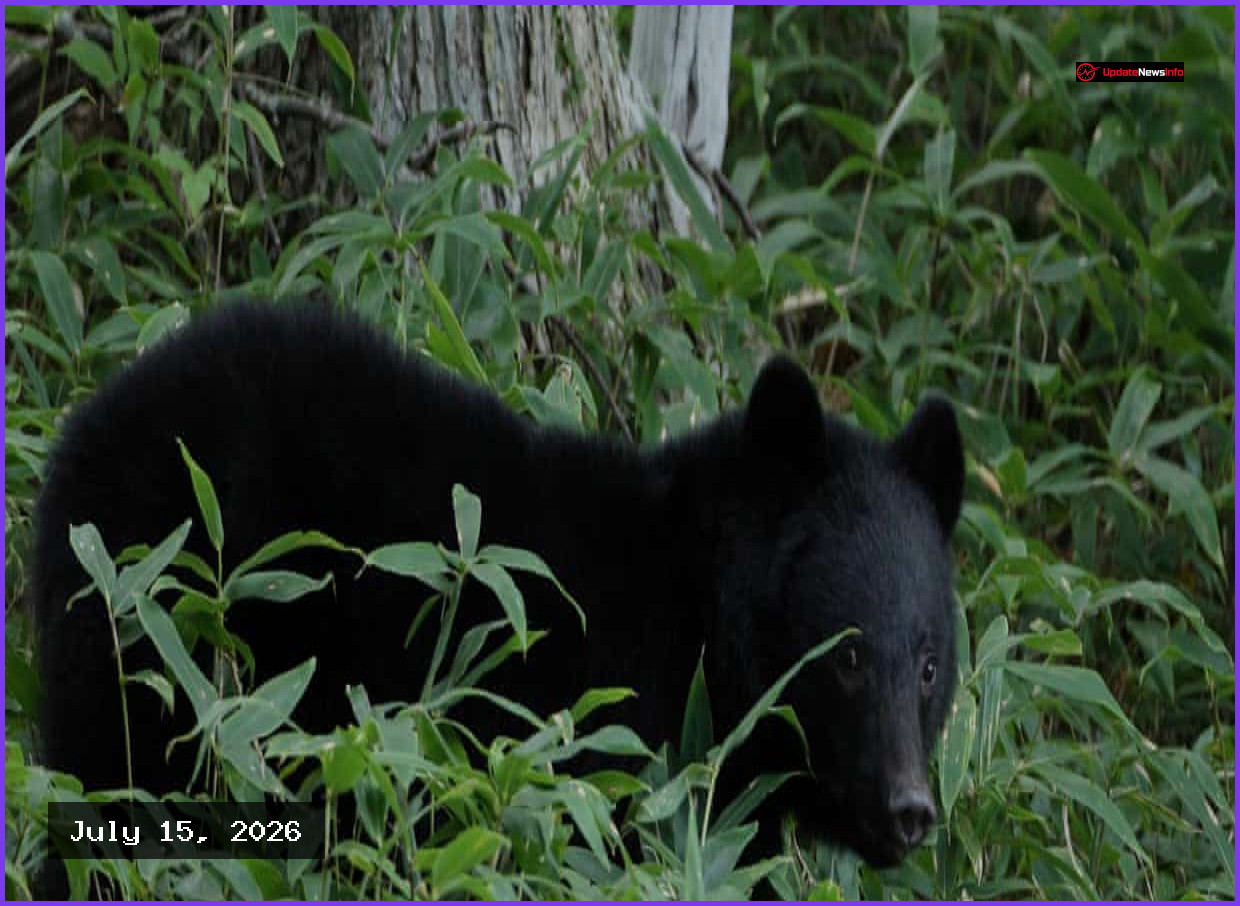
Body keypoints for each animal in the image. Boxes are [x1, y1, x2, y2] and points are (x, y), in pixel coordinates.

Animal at [32, 298, 964, 868]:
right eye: (845, 656)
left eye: (928, 666)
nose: (910, 808)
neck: (698, 616)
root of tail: (88, 420)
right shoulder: (621, 737)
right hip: (160, 616)